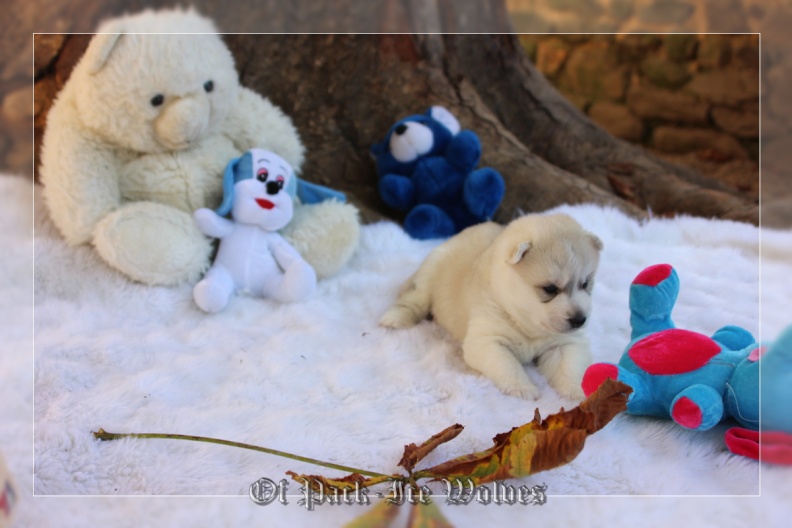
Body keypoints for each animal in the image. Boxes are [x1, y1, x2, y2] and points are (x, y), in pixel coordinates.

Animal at [380, 212, 604, 398]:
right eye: (550, 288)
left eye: (585, 284)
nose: (579, 320)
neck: (524, 322)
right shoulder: (487, 340)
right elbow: (507, 364)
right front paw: (522, 388)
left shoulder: (566, 343)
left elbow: (571, 367)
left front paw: (577, 393)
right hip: (429, 276)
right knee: (414, 300)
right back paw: (394, 319)